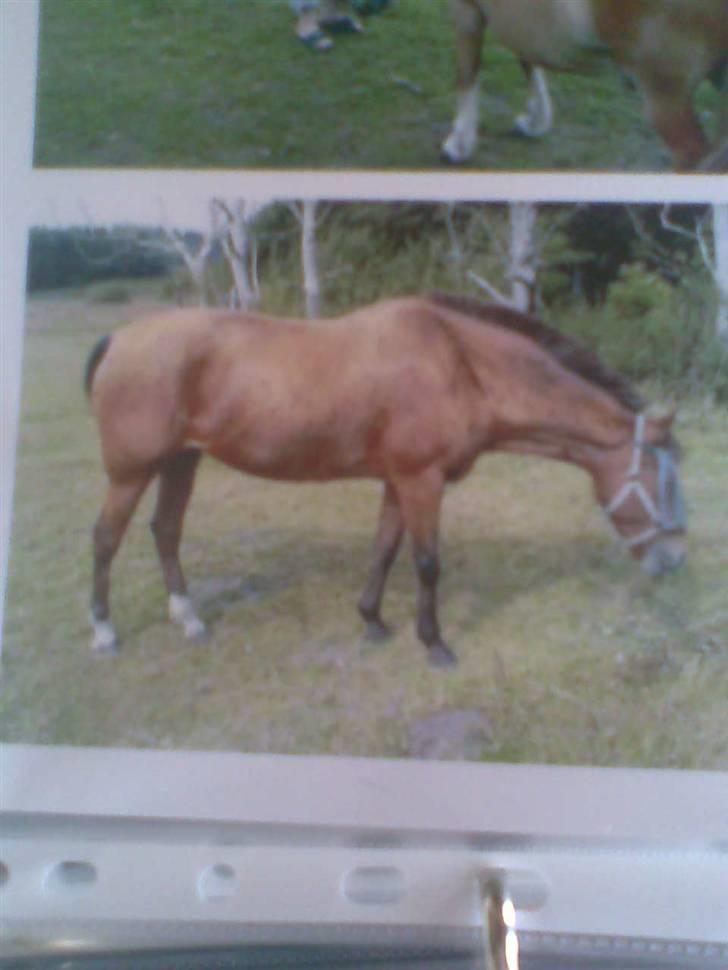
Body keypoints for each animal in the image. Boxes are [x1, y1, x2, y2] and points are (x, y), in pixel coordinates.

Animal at [84, 294, 687, 669]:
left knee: (165, 530)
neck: (458, 363)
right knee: (106, 539)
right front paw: (435, 644)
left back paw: (189, 620)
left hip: (181, 461)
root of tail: (118, 339)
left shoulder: (398, 480)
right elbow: (425, 562)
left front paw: (372, 621)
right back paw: (105, 632)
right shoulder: (422, 480)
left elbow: (384, 548)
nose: (673, 562)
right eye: (662, 478)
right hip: (131, 472)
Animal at [442, 0, 728, 171]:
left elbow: (466, 76)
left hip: (664, 97)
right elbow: (528, 60)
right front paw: (536, 122)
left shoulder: (466, 12)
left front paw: (459, 145)